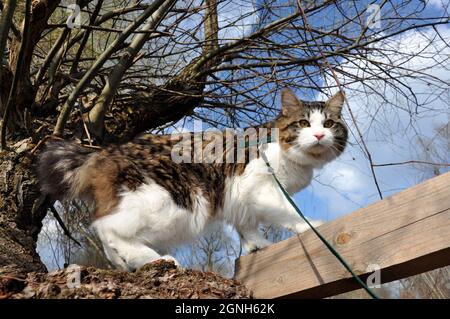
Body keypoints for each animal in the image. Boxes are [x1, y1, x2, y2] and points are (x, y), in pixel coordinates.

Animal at [37, 89, 348, 272]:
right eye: (304, 124)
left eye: (329, 124)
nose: (319, 135)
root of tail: (105, 151)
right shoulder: (261, 187)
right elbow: (289, 213)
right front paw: (314, 226)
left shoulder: (239, 199)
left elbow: (247, 227)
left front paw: (257, 245)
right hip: (172, 204)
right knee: (106, 227)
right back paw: (155, 259)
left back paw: (132, 262)